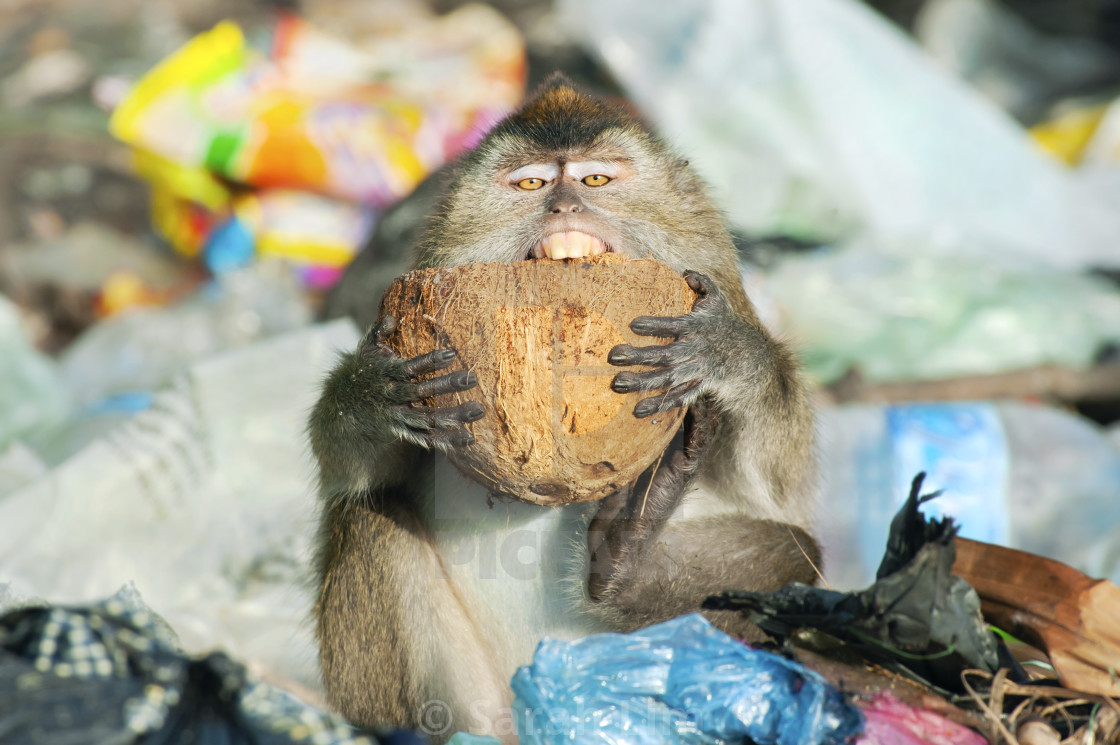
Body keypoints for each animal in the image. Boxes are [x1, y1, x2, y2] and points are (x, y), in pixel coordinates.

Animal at [311, 78, 819, 739]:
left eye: (594, 179)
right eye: (531, 184)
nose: (563, 208)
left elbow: (775, 485)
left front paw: (726, 349)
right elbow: (351, 471)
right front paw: (372, 391)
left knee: (795, 557)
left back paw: (623, 560)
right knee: (369, 516)